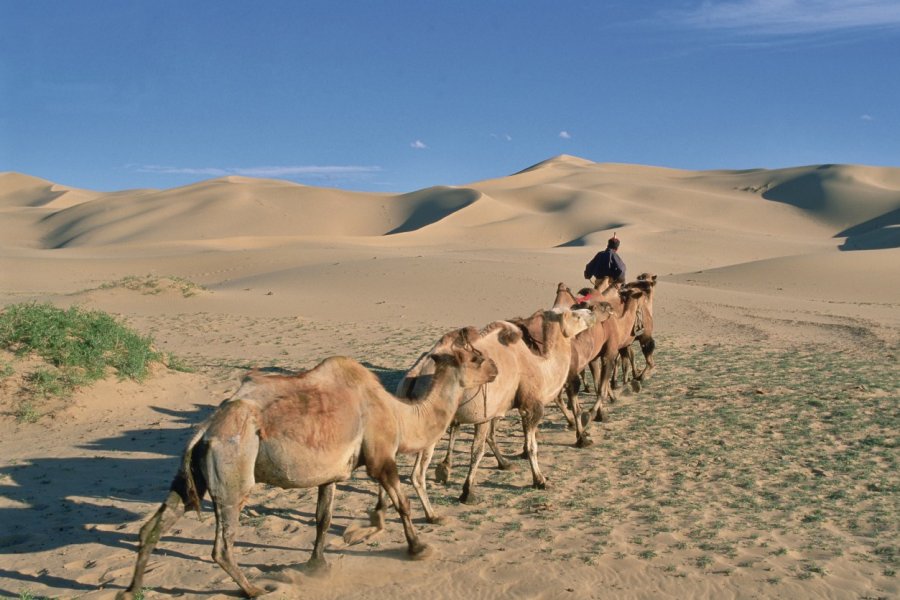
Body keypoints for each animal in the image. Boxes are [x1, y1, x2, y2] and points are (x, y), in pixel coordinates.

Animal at [115, 332, 496, 600]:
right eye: (476, 357)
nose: (495, 369)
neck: (401, 415)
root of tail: (205, 430)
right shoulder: (380, 459)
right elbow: (402, 503)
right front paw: (418, 548)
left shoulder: (331, 473)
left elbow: (323, 519)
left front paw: (318, 565)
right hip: (233, 470)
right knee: (221, 545)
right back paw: (252, 589)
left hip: (191, 475)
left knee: (154, 525)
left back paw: (131, 590)